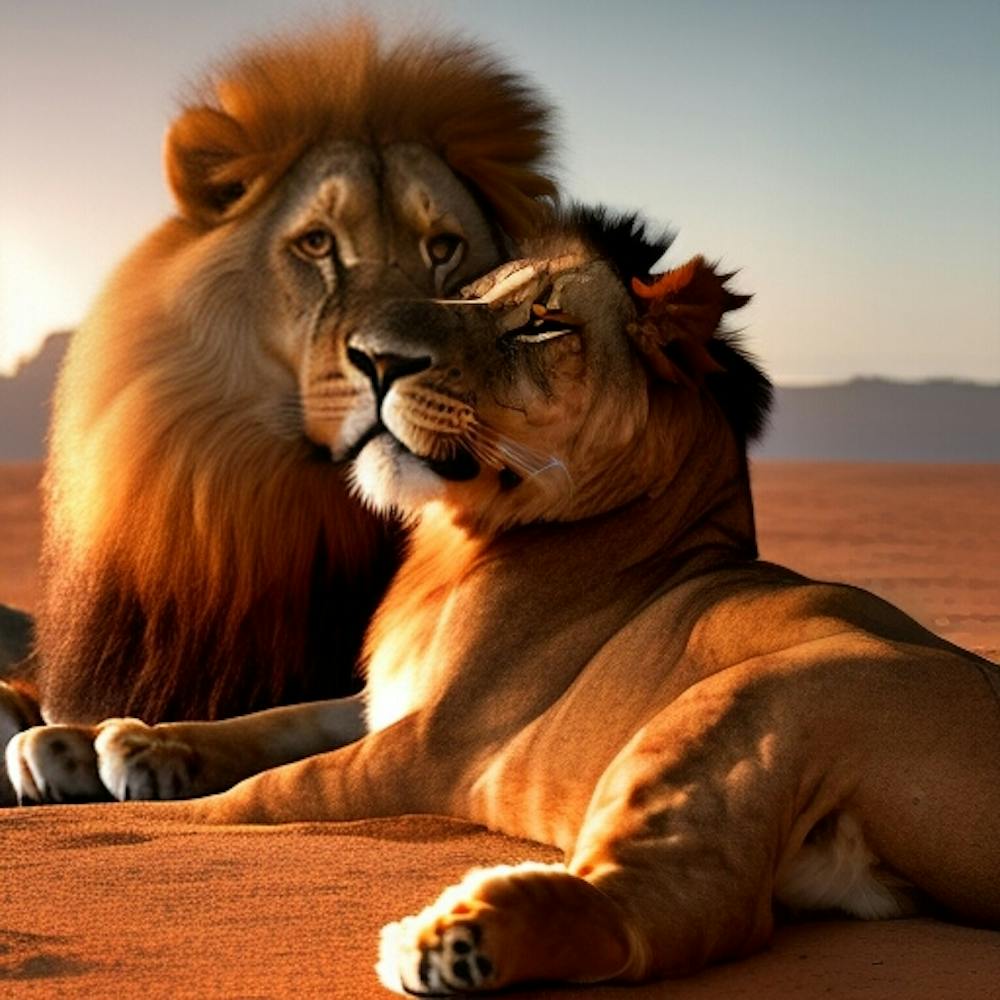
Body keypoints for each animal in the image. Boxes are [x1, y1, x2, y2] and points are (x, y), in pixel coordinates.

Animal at [7, 208, 1000, 992]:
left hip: (756, 699)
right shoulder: (385, 700)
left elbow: (249, 797)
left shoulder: (431, 747)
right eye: (474, 297)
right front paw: (101, 743)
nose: (369, 356)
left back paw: (454, 941)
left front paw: (107, 786)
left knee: (685, 911)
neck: (457, 542)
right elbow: (269, 721)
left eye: (540, 328)